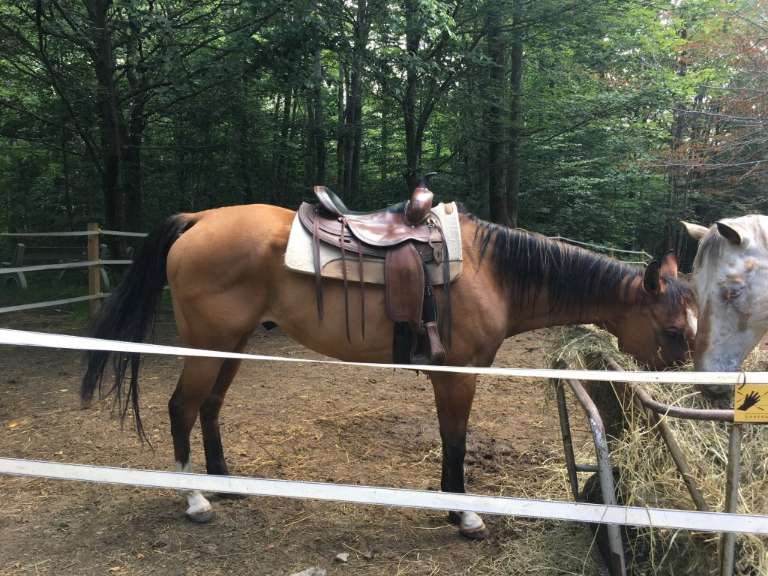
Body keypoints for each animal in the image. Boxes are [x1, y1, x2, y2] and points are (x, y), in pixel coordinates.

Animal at [82, 202, 696, 539]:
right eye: (673, 329)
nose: (689, 390)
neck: (491, 272)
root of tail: (201, 219)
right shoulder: (459, 375)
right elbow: (455, 442)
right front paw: (463, 517)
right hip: (208, 347)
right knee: (181, 408)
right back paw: (195, 500)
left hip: (233, 345)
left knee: (209, 406)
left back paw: (225, 484)